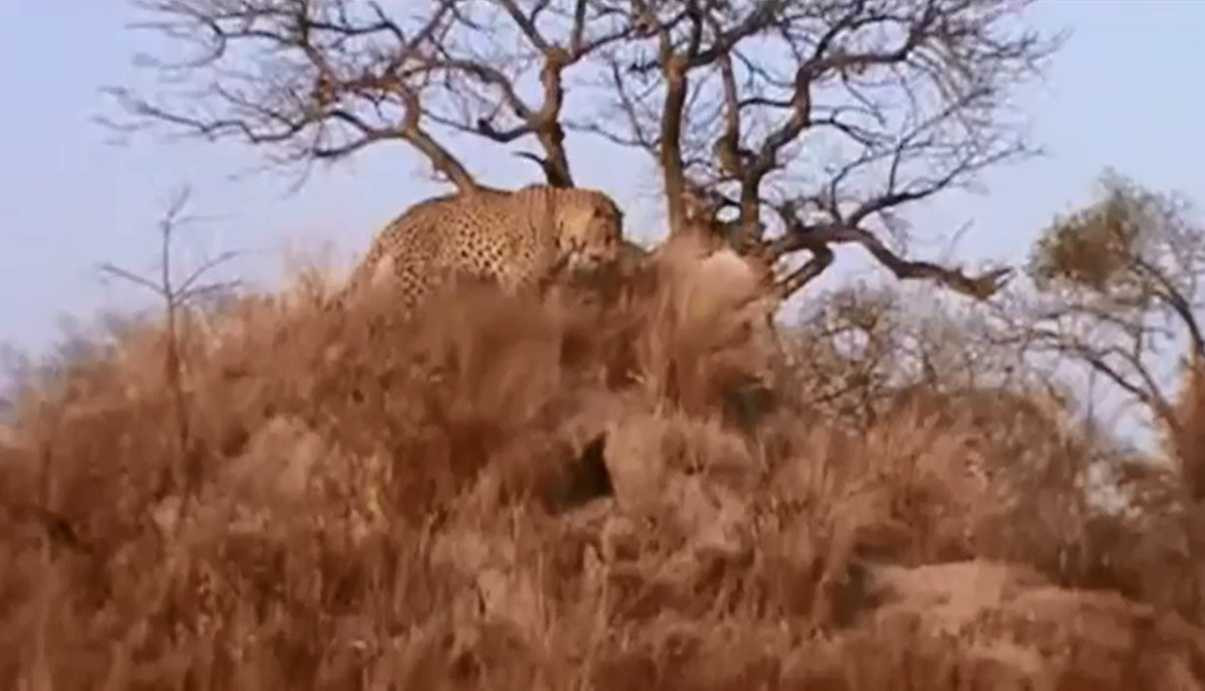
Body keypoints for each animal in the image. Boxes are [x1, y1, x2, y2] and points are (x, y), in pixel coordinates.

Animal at [327, 184, 625, 316]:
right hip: (416, 284)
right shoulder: (520, 280)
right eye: (610, 236)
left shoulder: (548, 280)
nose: (616, 257)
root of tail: (396, 221)